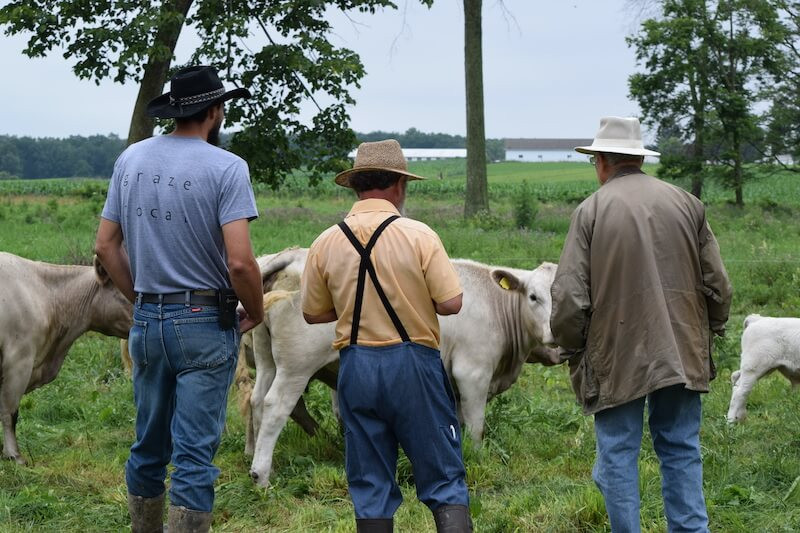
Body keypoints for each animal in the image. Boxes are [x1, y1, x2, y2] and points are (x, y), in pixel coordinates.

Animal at [247, 250, 560, 486]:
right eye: (533, 297)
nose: (555, 337)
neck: (493, 303)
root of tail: (291, 255)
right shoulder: (473, 373)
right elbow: (475, 426)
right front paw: (478, 458)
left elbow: (456, 423)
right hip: (297, 366)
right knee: (276, 406)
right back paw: (262, 475)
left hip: (266, 359)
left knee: (256, 400)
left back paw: (252, 458)